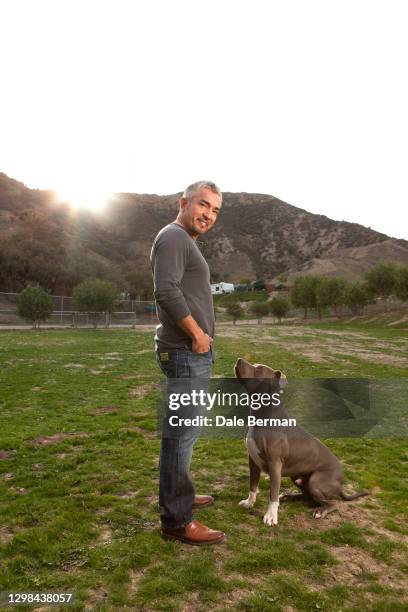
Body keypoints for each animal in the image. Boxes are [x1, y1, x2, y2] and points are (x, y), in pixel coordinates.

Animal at [234, 358, 368, 524]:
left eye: (259, 370)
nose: (239, 359)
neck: (262, 414)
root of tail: (341, 482)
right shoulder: (253, 459)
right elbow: (253, 484)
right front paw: (249, 503)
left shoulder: (274, 463)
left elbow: (272, 493)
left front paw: (271, 516)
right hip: (297, 477)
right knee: (307, 496)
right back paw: (289, 496)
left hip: (316, 481)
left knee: (333, 502)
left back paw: (320, 511)